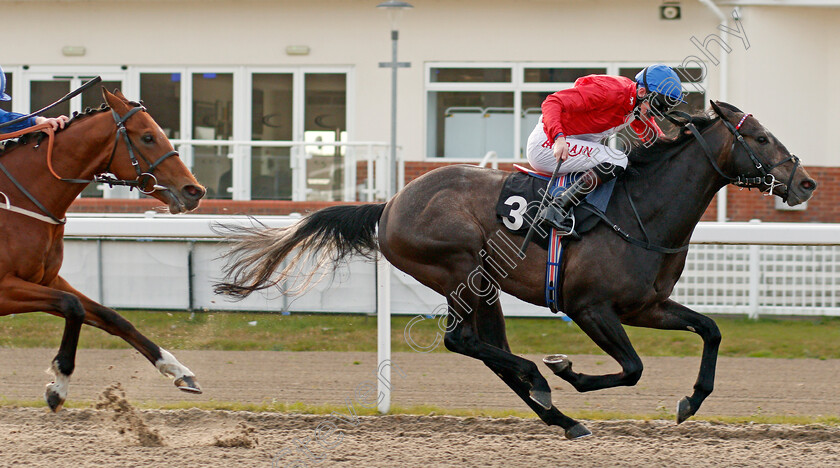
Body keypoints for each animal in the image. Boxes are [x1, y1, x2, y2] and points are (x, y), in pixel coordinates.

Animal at [0, 88, 207, 410]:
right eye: (148, 137)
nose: (194, 191)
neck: (19, 202)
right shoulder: (4, 288)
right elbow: (72, 305)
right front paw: (58, 385)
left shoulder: (45, 279)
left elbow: (110, 316)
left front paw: (178, 370)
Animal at [213, 101, 816, 438]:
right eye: (761, 138)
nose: (806, 182)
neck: (640, 210)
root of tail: (389, 204)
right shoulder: (590, 308)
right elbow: (632, 368)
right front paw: (567, 370)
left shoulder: (645, 305)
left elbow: (710, 330)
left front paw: (690, 402)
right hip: (460, 269)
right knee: (463, 341)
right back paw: (544, 381)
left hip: (485, 288)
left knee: (488, 351)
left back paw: (561, 417)